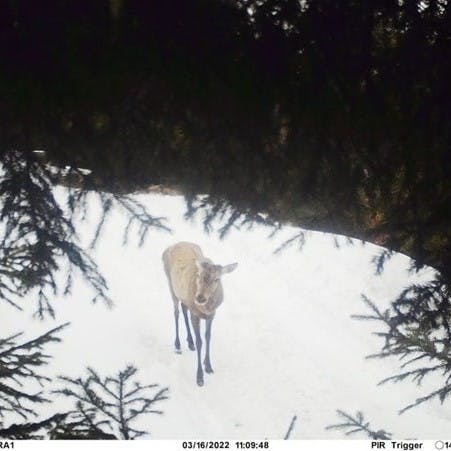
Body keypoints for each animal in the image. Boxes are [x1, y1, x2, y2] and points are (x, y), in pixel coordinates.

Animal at [163, 242, 240, 386]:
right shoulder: (196, 313)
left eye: (217, 279)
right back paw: (178, 345)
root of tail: (174, 244)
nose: (200, 298)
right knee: (176, 312)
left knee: (183, 308)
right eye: (198, 275)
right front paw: (199, 377)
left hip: (184, 296)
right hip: (171, 286)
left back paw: (190, 342)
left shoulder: (211, 315)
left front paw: (208, 365)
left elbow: (208, 337)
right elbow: (200, 341)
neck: (207, 308)